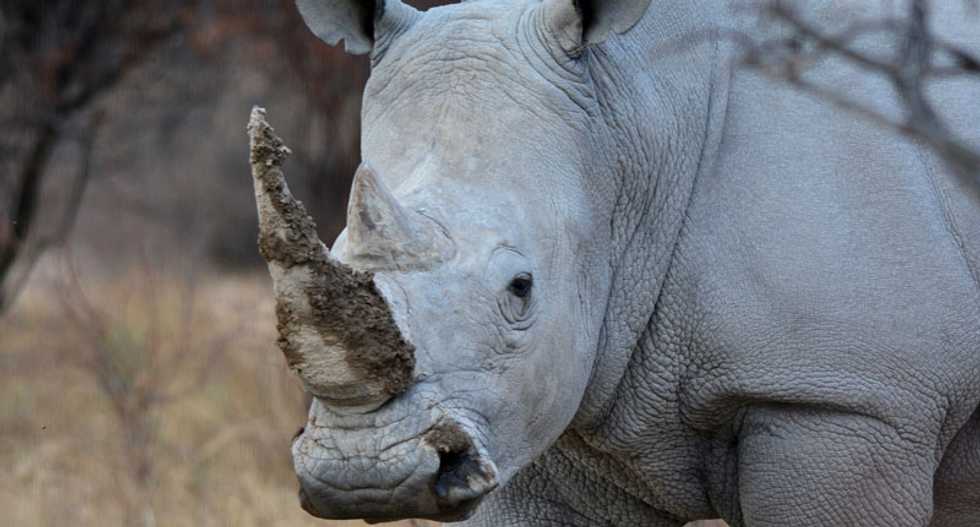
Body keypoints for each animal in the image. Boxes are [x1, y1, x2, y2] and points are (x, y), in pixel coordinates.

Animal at [248, 0, 980, 525]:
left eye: (521, 288)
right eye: (337, 258)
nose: (365, 473)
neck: (629, 125)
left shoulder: (849, 398)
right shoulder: (535, 407)